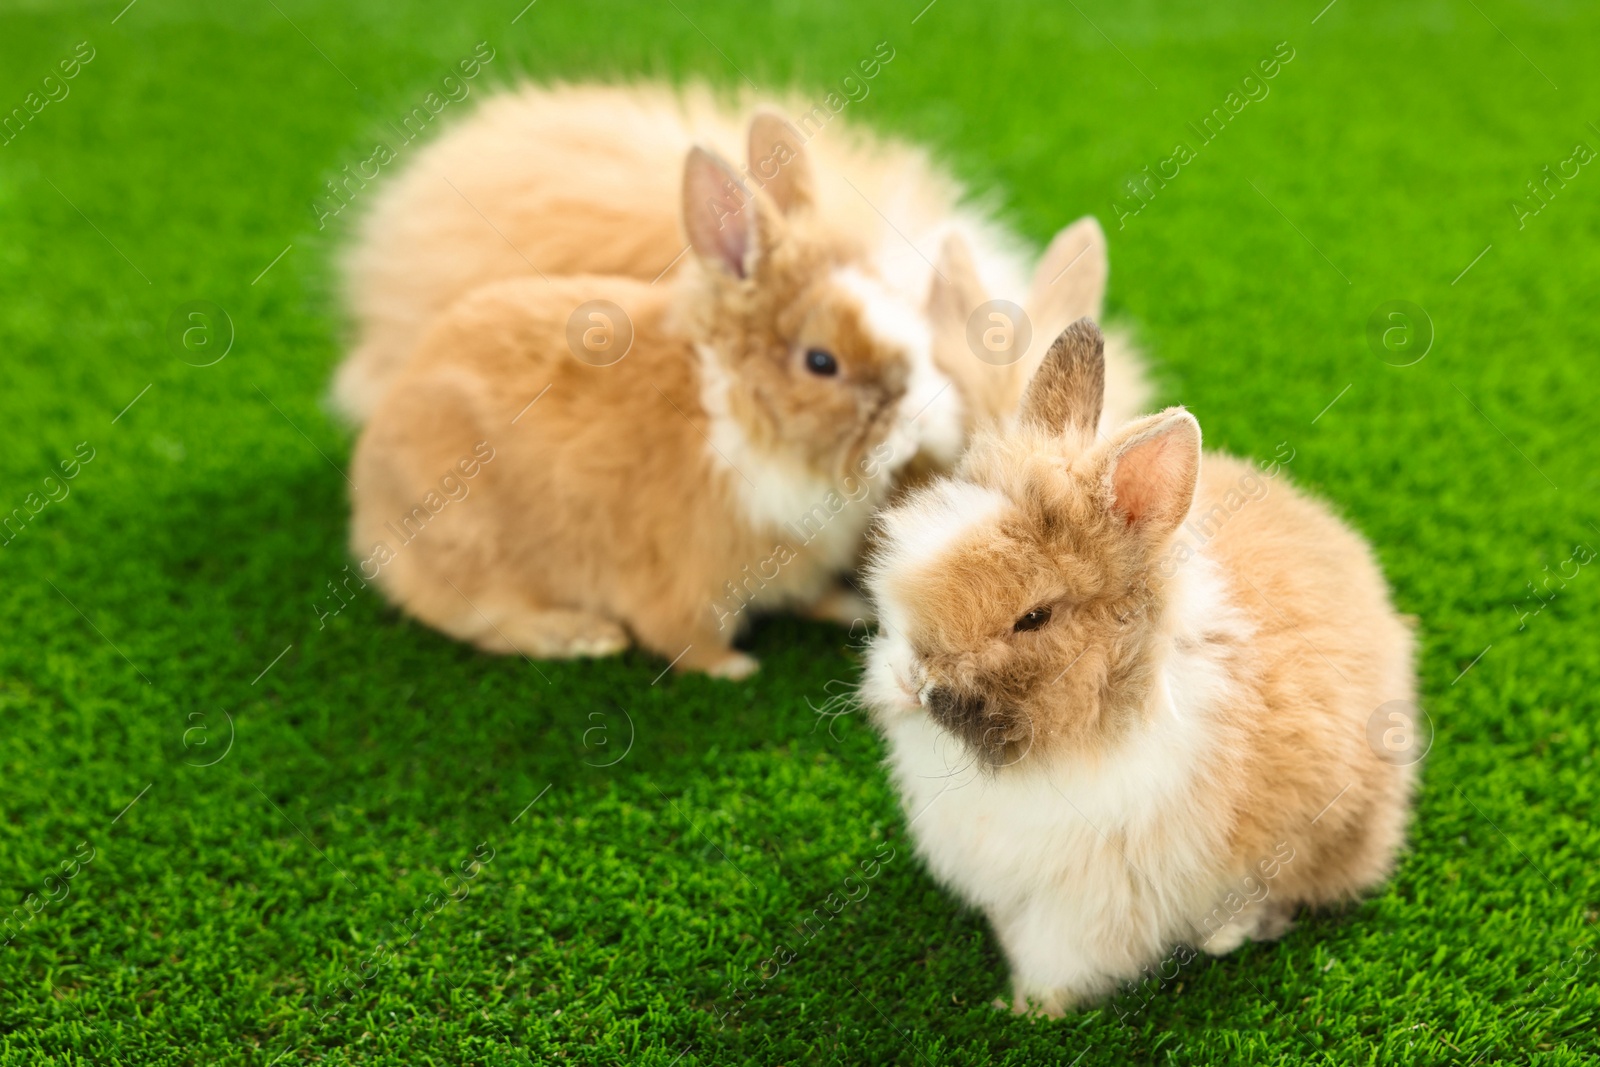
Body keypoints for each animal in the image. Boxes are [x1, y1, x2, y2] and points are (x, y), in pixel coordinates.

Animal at [344, 143, 979, 675]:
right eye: (821, 362)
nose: (920, 422)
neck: (736, 414)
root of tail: (366, 501)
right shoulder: (681, 580)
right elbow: (685, 637)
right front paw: (735, 669)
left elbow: (813, 594)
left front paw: (851, 609)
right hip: (472, 549)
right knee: (480, 617)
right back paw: (586, 636)